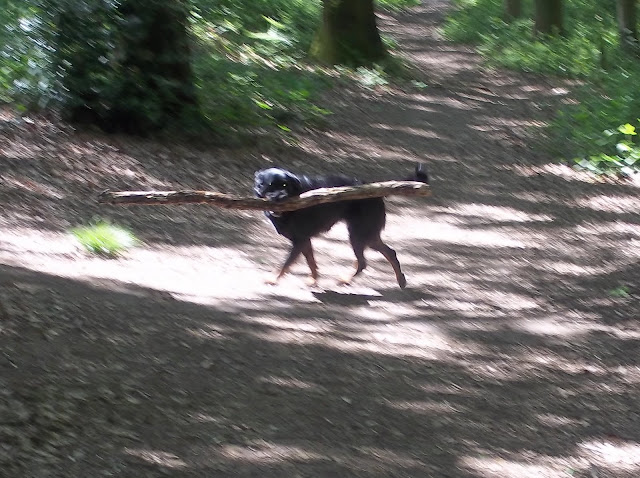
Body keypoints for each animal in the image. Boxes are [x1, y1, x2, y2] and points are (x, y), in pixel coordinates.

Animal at [253, 164, 428, 288]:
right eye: (270, 185)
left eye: (285, 185)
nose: (280, 198)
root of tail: (375, 191)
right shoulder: (304, 241)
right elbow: (311, 263)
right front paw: (313, 280)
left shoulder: (300, 241)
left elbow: (285, 264)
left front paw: (273, 279)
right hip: (367, 235)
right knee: (389, 253)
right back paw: (400, 280)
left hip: (358, 234)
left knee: (364, 262)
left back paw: (346, 279)